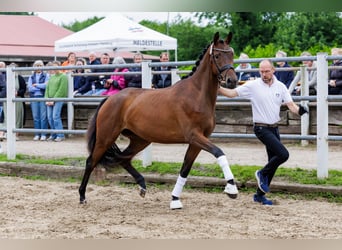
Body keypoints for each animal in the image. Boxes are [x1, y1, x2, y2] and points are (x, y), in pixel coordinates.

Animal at [78, 31, 238, 209]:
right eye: (217, 55)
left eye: (232, 54)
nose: (232, 81)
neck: (196, 95)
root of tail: (110, 99)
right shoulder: (194, 136)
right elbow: (219, 152)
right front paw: (231, 189)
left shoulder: (198, 141)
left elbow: (185, 168)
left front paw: (175, 200)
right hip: (105, 138)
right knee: (91, 161)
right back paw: (82, 196)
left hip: (140, 140)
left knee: (123, 160)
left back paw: (142, 186)